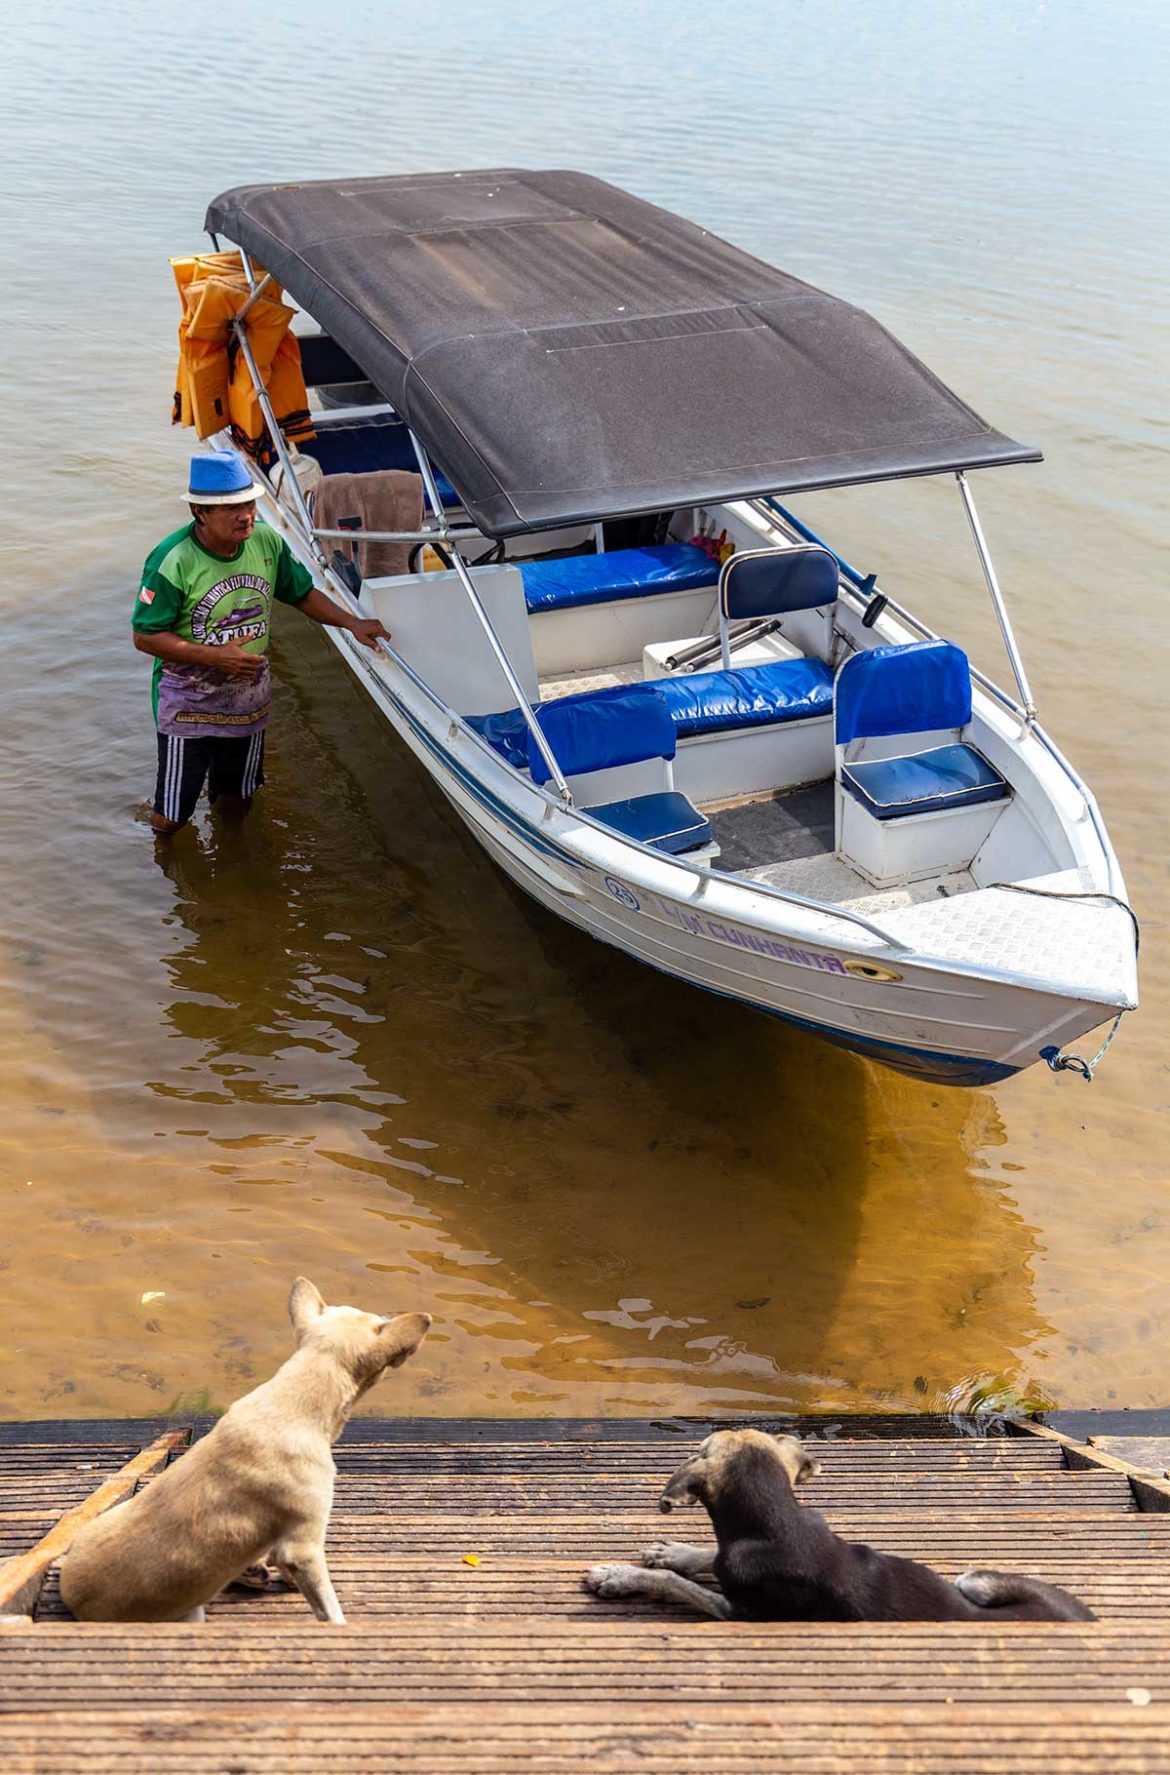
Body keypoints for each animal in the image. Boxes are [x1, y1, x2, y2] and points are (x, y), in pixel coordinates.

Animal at [56, 1278, 429, 1625]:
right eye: (379, 1320)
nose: (394, 1312)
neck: (293, 1399)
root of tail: (71, 1600)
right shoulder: (304, 1547)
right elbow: (330, 1608)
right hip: (189, 1614)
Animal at [585, 1427, 1100, 1625]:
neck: (775, 1518)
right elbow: (706, 1557)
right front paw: (672, 1552)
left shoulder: (741, 1611)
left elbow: (677, 1584)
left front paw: (620, 1576)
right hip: (981, 1581)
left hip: (974, 1579)